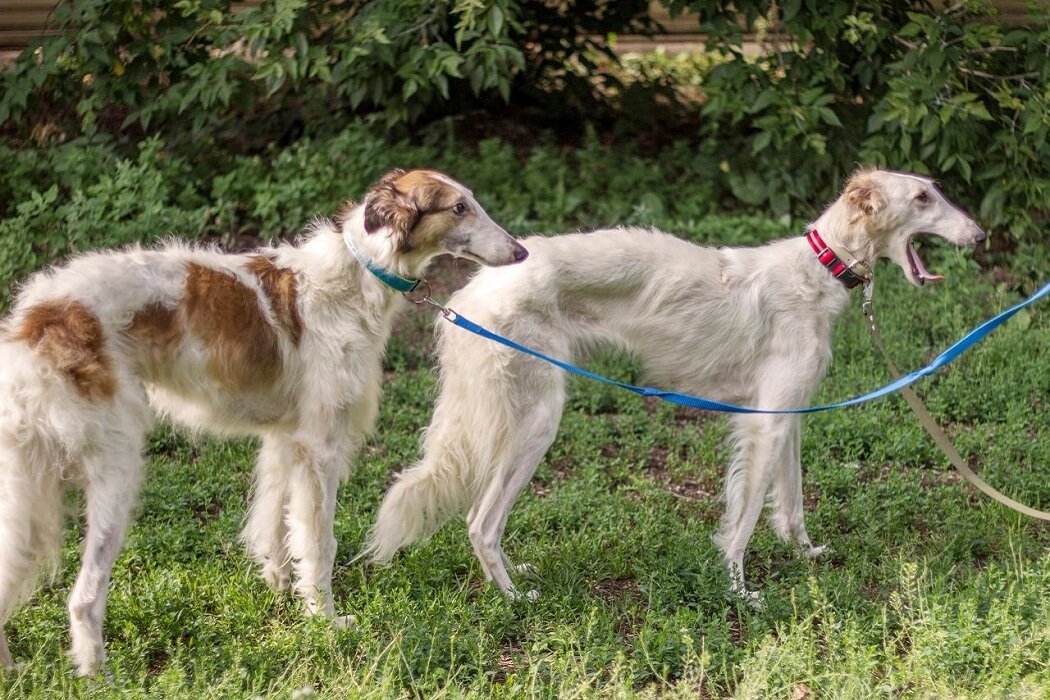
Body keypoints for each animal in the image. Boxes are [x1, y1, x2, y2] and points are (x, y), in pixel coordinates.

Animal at [0, 166, 525, 675]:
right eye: (458, 207)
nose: (520, 251)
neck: (357, 273)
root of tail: (37, 319)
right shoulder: (320, 447)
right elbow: (320, 543)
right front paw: (326, 620)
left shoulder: (284, 438)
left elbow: (275, 527)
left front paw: (281, 589)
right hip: (115, 469)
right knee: (83, 597)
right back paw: (98, 673)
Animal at [365, 167, 986, 604]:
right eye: (923, 198)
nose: (981, 236)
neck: (817, 269)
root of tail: (468, 292)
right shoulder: (764, 423)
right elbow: (744, 518)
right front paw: (738, 591)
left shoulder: (787, 414)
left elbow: (789, 504)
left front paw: (804, 553)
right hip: (537, 422)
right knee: (480, 521)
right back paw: (515, 597)